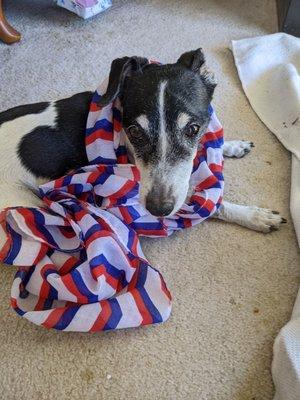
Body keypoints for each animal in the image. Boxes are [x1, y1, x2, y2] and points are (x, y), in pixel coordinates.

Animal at [0, 48, 286, 239]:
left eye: (193, 128)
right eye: (135, 131)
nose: (158, 209)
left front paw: (233, 146)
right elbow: (211, 204)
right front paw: (255, 216)